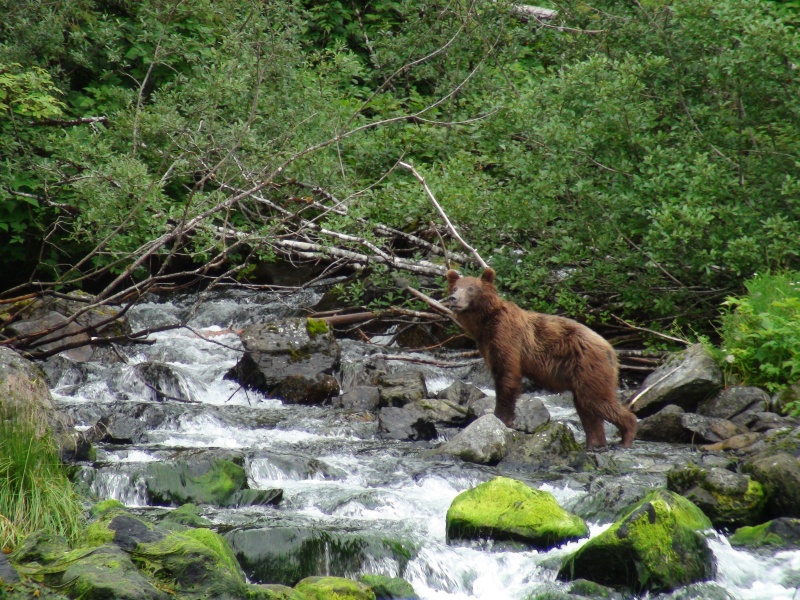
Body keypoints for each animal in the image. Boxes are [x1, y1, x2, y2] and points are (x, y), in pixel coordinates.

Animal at [445, 267, 637, 449]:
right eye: (455, 287)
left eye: (471, 288)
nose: (453, 298)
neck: (484, 322)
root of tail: (610, 348)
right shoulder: (486, 344)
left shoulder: (506, 336)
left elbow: (507, 375)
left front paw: (500, 417)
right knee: (586, 408)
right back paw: (595, 443)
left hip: (589, 365)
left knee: (596, 400)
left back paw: (626, 435)